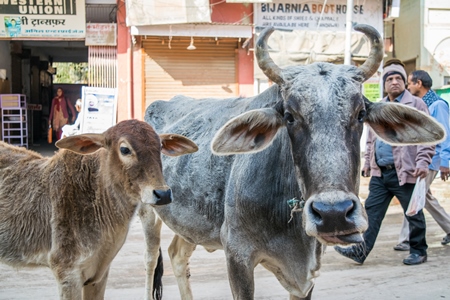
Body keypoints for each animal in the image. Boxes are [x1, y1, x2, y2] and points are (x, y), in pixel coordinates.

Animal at [141, 24, 446, 298]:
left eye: (360, 113)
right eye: (289, 116)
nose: (333, 214)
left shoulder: (307, 274)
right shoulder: (238, 257)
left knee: (177, 255)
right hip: (148, 213)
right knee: (150, 262)